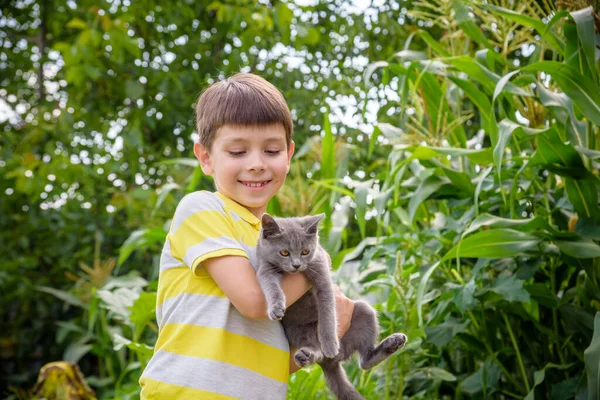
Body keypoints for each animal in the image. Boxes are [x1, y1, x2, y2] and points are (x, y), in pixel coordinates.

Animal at [258, 214, 408, 398]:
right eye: (284, 252)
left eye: (305, 252)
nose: (296, 265)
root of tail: (333, 361)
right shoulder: (265, 268)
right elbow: (270, 285)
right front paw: (276, 308)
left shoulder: (321, 271)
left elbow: (327, 310)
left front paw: (330, 344)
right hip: (296, 330)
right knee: (316, 348)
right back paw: (306, 355)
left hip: (364, 310)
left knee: (364, 361)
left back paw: (392, 342)